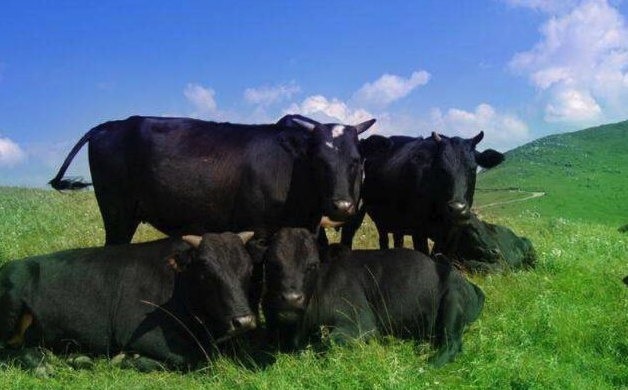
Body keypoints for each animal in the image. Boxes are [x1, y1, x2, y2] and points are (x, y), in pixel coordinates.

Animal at [0, 232, 258, 372]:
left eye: (248, 270)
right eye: (206, 272)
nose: (244, 321)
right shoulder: (140, 335)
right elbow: (194, 359)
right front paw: (128, 359)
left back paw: (75, 358)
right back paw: (39, 364)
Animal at [49, 114, 376, 245]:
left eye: (355, 161)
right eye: (318, 161)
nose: (342, 206)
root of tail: (112, 124)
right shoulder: (258, 230)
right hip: (117, 213)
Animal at [338, 133, 506, 251]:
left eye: (473, 169)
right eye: (441, 169)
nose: (457, 209)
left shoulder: (450, 233)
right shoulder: (418, 232)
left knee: (397, 240)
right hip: (380, 218)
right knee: (383, 239)